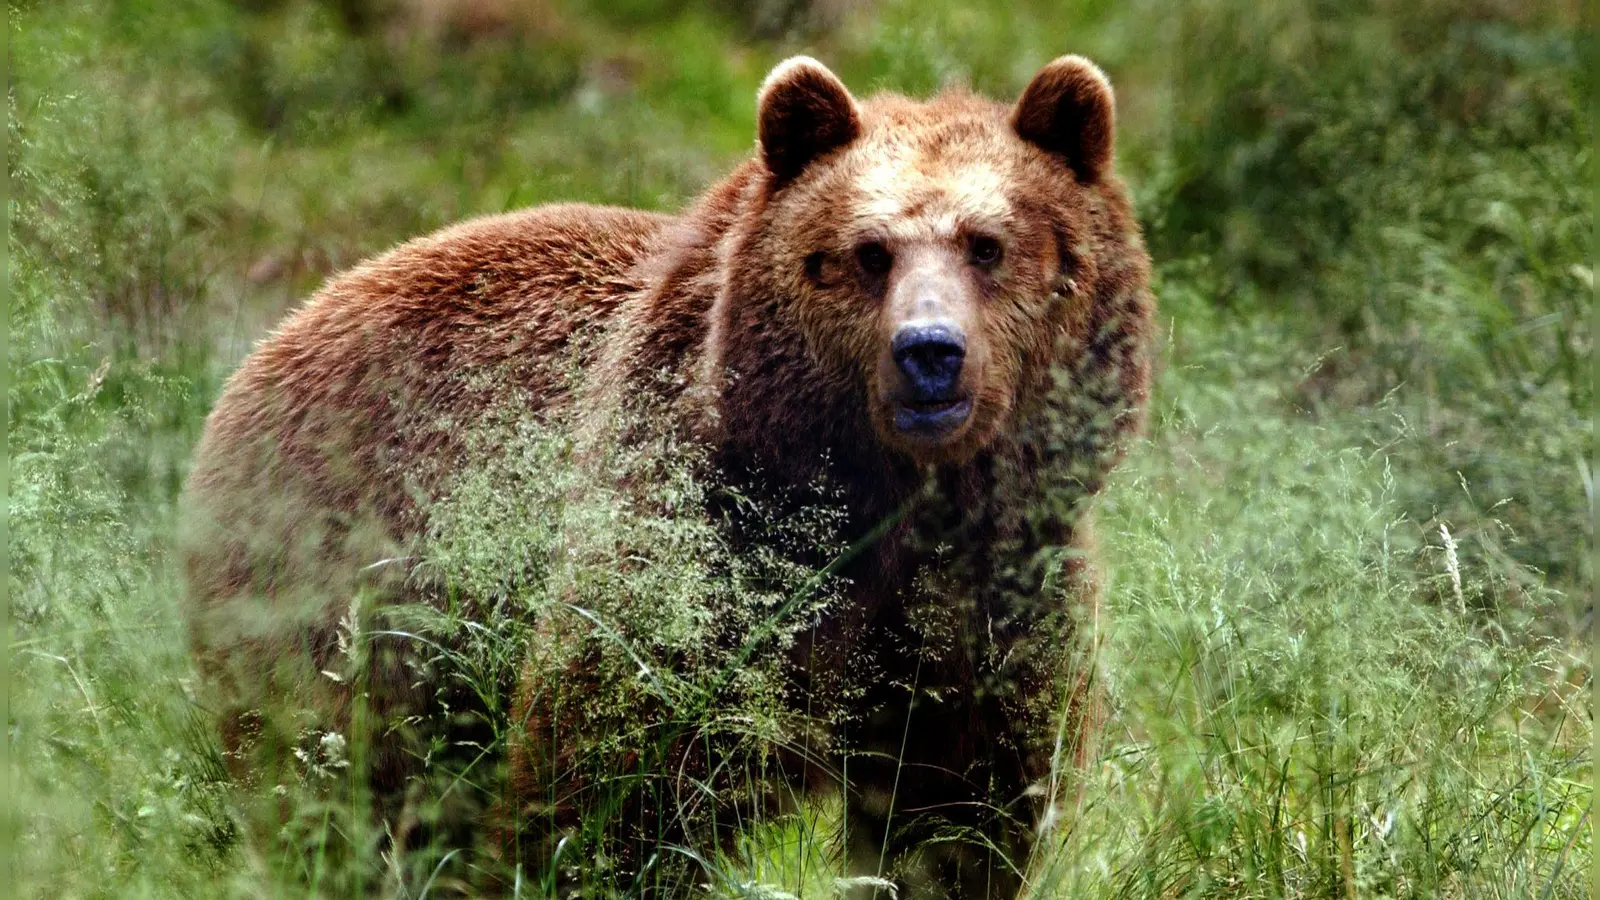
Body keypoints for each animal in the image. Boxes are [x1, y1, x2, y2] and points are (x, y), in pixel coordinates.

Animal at [181, 54, 1153, 898]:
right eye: (868, 251)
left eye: (987, 244)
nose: (929, 354)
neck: (886, 503)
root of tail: (278, 335)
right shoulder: (703, 550)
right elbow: (619, 785)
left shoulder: (995, 592)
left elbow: (960, 814)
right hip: (347, 588)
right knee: (339, 781)